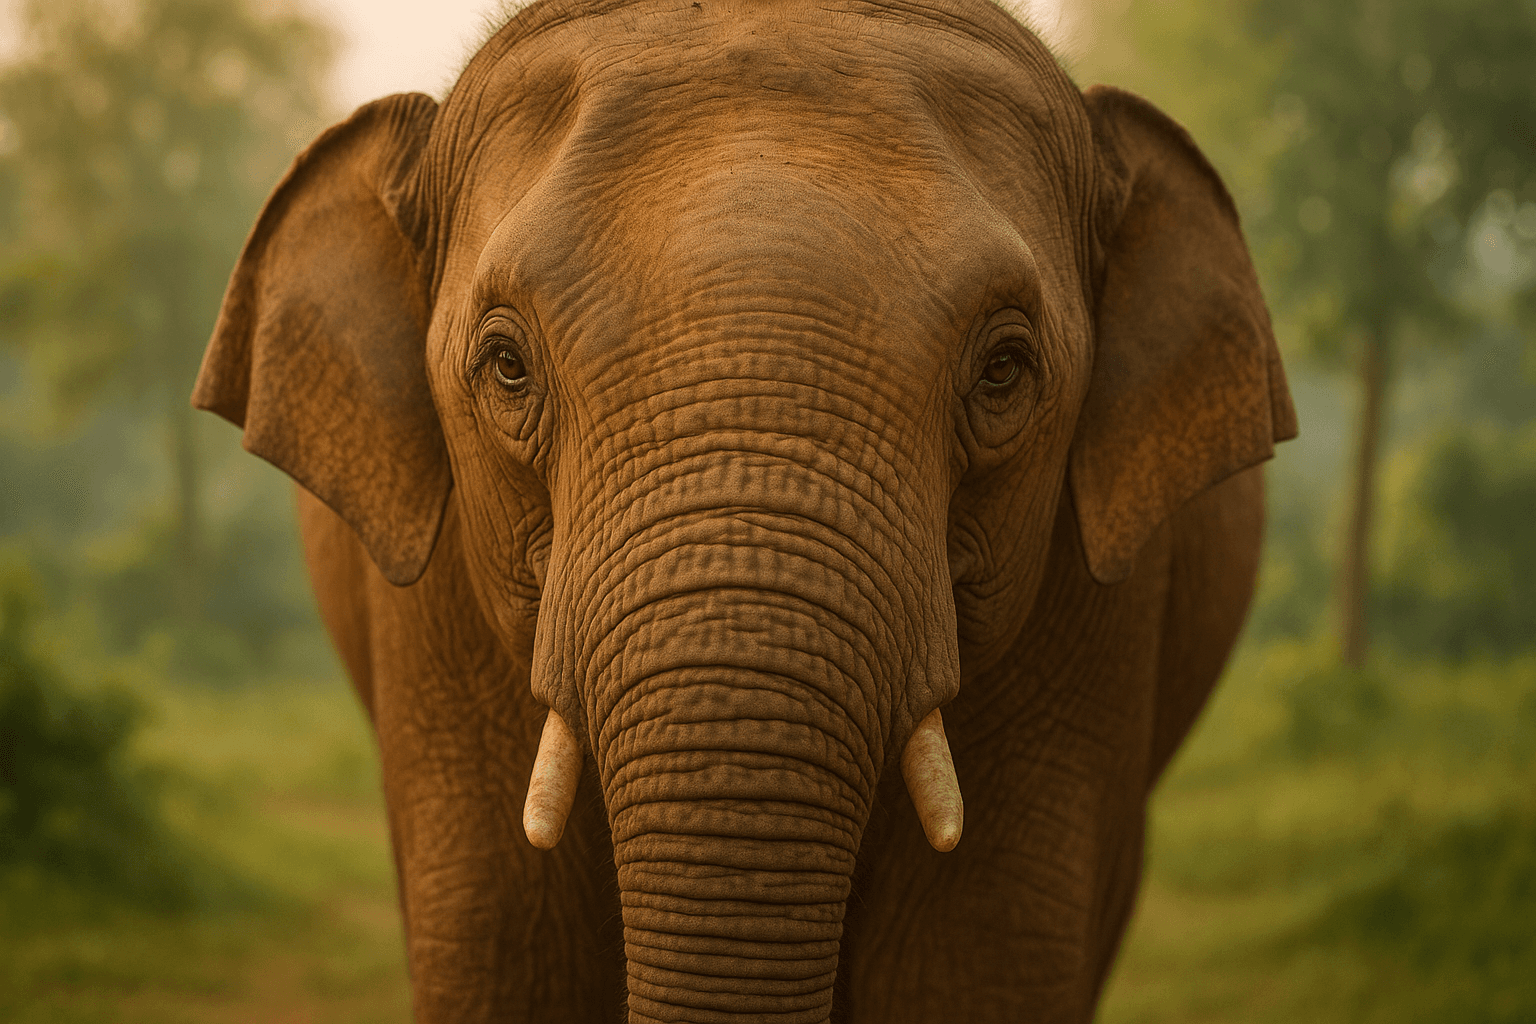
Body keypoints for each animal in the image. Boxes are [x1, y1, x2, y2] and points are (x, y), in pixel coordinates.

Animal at [192, 0, 1296, 1020]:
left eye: (1004, 372)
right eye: (505, 364)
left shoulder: (1097, 610)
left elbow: (972, 959)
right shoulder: (430, 616)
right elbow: (503, 954)